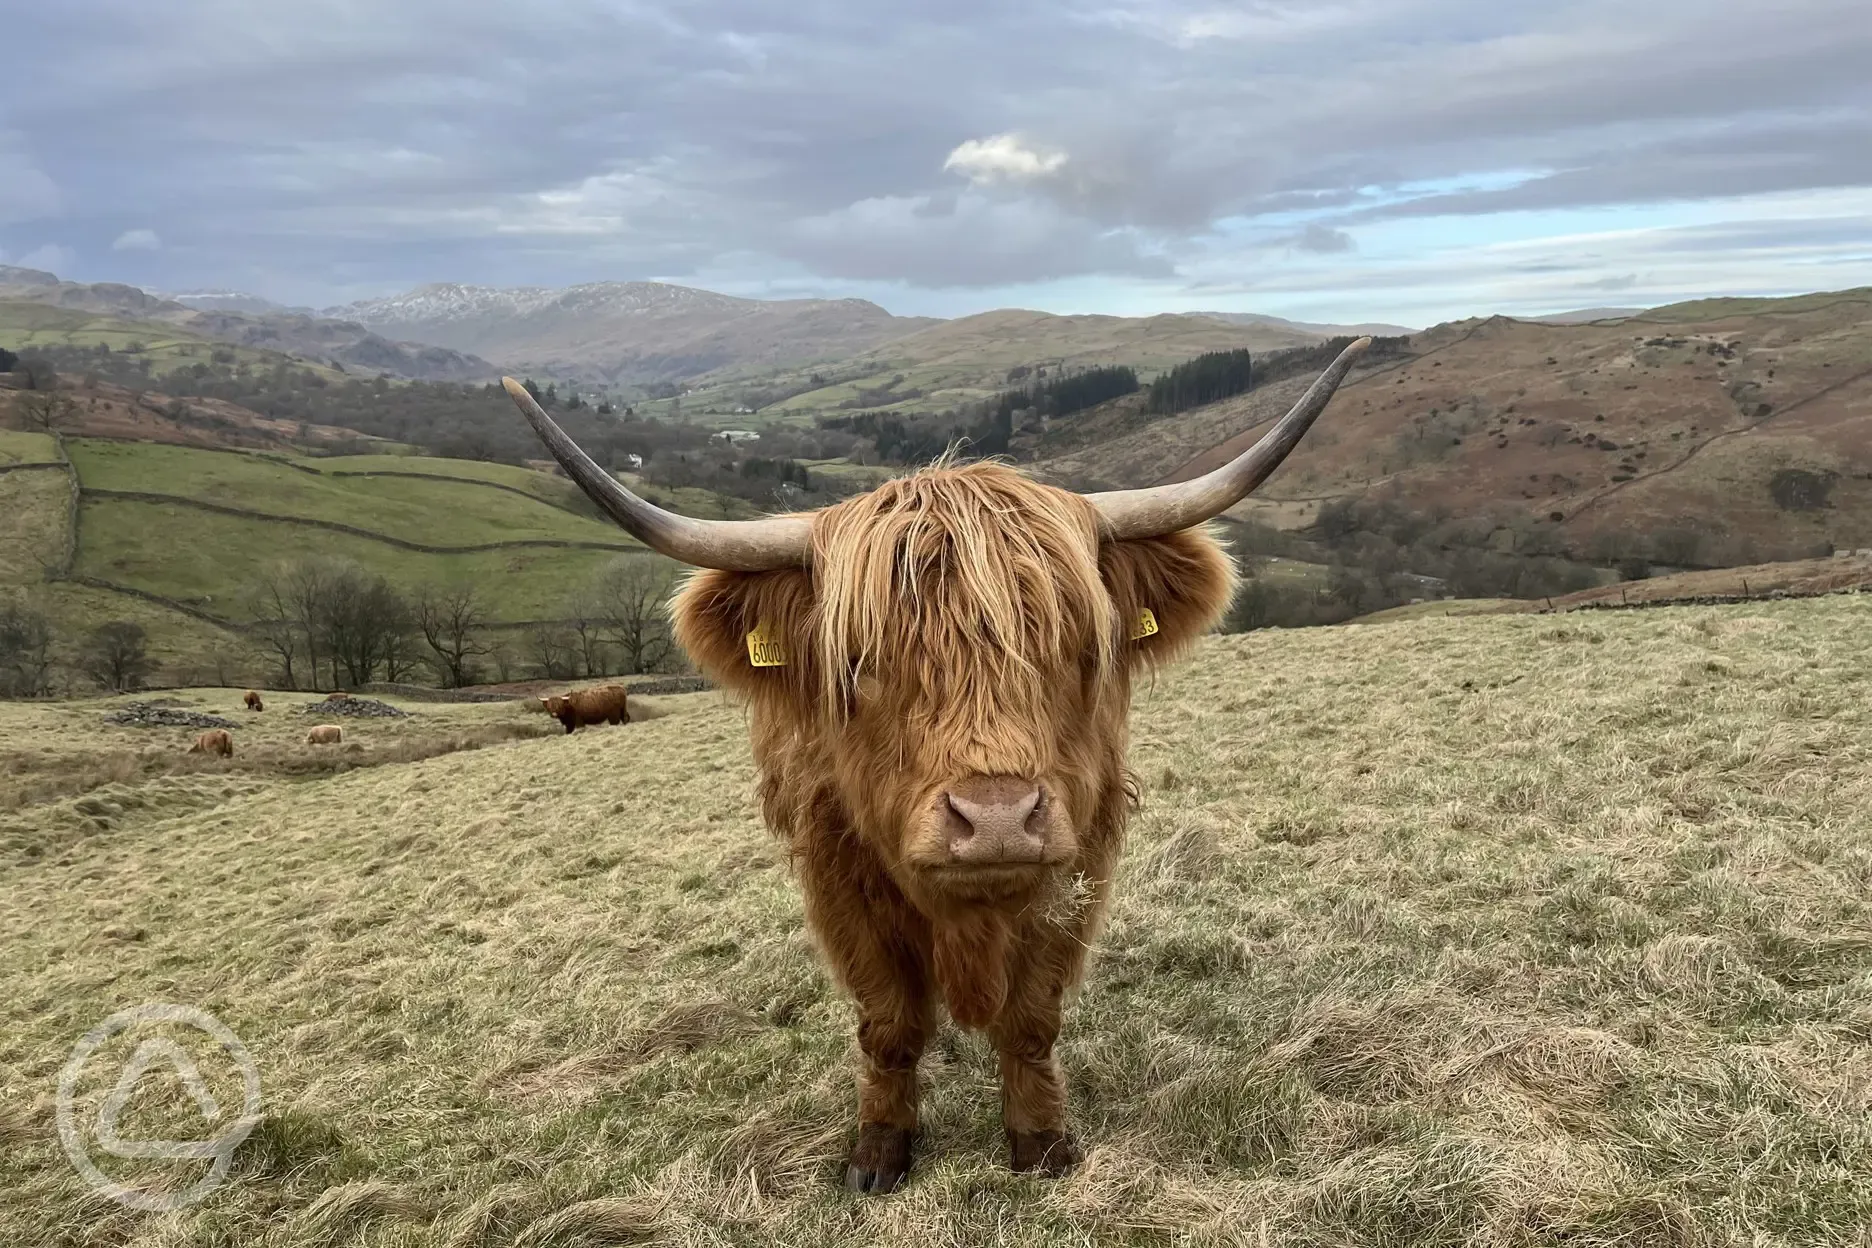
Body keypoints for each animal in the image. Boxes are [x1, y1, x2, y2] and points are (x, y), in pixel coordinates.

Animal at [505, 336, 1370, 1197]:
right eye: (858, 661)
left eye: (1080, 647)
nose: (996, 822)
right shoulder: (840, 884)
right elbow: (890, 1024)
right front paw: (880, 1150)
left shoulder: (1076, 871)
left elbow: (1031, 1019)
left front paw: (1040, 1141)